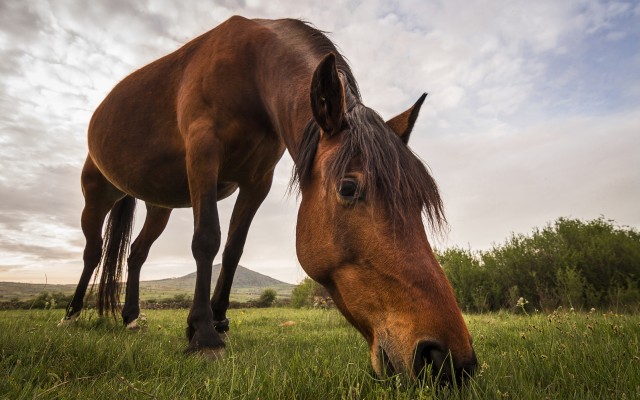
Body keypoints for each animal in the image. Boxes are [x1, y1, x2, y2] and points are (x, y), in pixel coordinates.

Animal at [61, 16, 476, 382]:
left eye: (419, 202)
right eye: (348, 188)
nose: (448, 360)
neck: (249, 72)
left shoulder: (257, 180)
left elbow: (234, 249)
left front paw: (218, 321)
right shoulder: (203, 156)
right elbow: (207, 239)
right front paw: (204, 335)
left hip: (158, 206)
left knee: (136, 254)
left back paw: (131, 317)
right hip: (96, 197)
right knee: (93, 252)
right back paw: (71, 314)